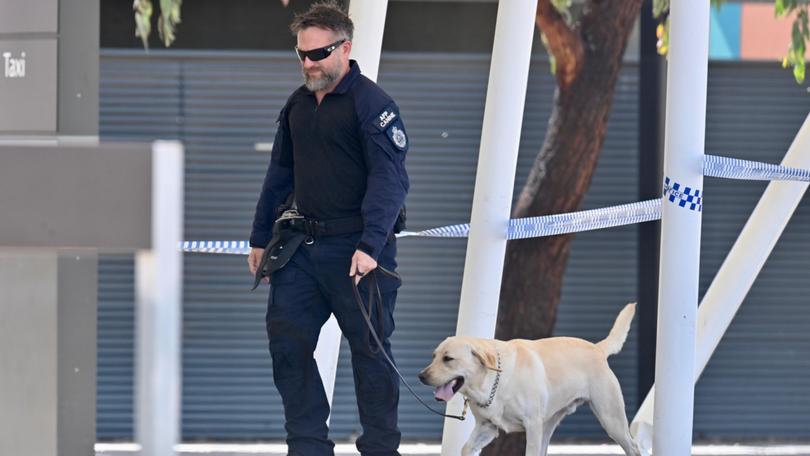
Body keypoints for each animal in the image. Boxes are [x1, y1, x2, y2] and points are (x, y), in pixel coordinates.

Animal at [416, 302, 636, 456]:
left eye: (448, 359)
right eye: (434, 356)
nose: (421, 376)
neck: (493, 383)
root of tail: (597, 348)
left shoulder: (532, 425)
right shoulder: (486, 428)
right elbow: (465, 448)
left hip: (611, 419)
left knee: (633, 446)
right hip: (548, 425)